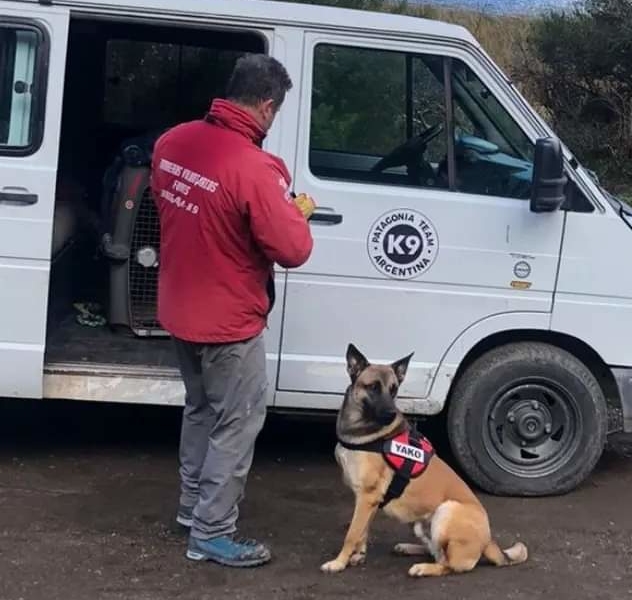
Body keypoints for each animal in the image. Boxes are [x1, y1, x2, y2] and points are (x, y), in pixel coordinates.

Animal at [320, 344, 528, 580]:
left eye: (394, 390)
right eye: (373, 387)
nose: (391, 413)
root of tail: (489, 542)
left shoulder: (367, 497)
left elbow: (352, 534)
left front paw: (339, 562)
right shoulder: (367, 501)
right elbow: (362, 531)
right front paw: (358, 555)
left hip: (446, 511)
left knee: (448, 564)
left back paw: (423, 568)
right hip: (420, 524)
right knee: (436, 552)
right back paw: (409, 548)